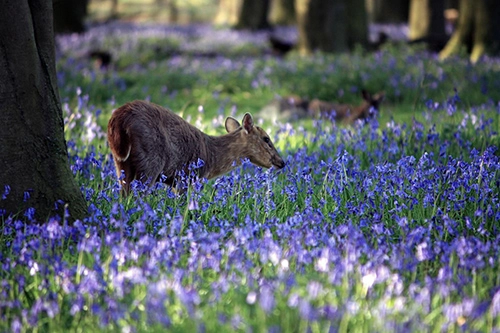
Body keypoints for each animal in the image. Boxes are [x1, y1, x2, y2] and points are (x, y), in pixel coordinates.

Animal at [106, 101, 286, 195]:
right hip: (150, 161)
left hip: (121, 163)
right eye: (266, 139)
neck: (212, 156)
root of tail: (119, 118)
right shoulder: (188, 177)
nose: (282, 162)